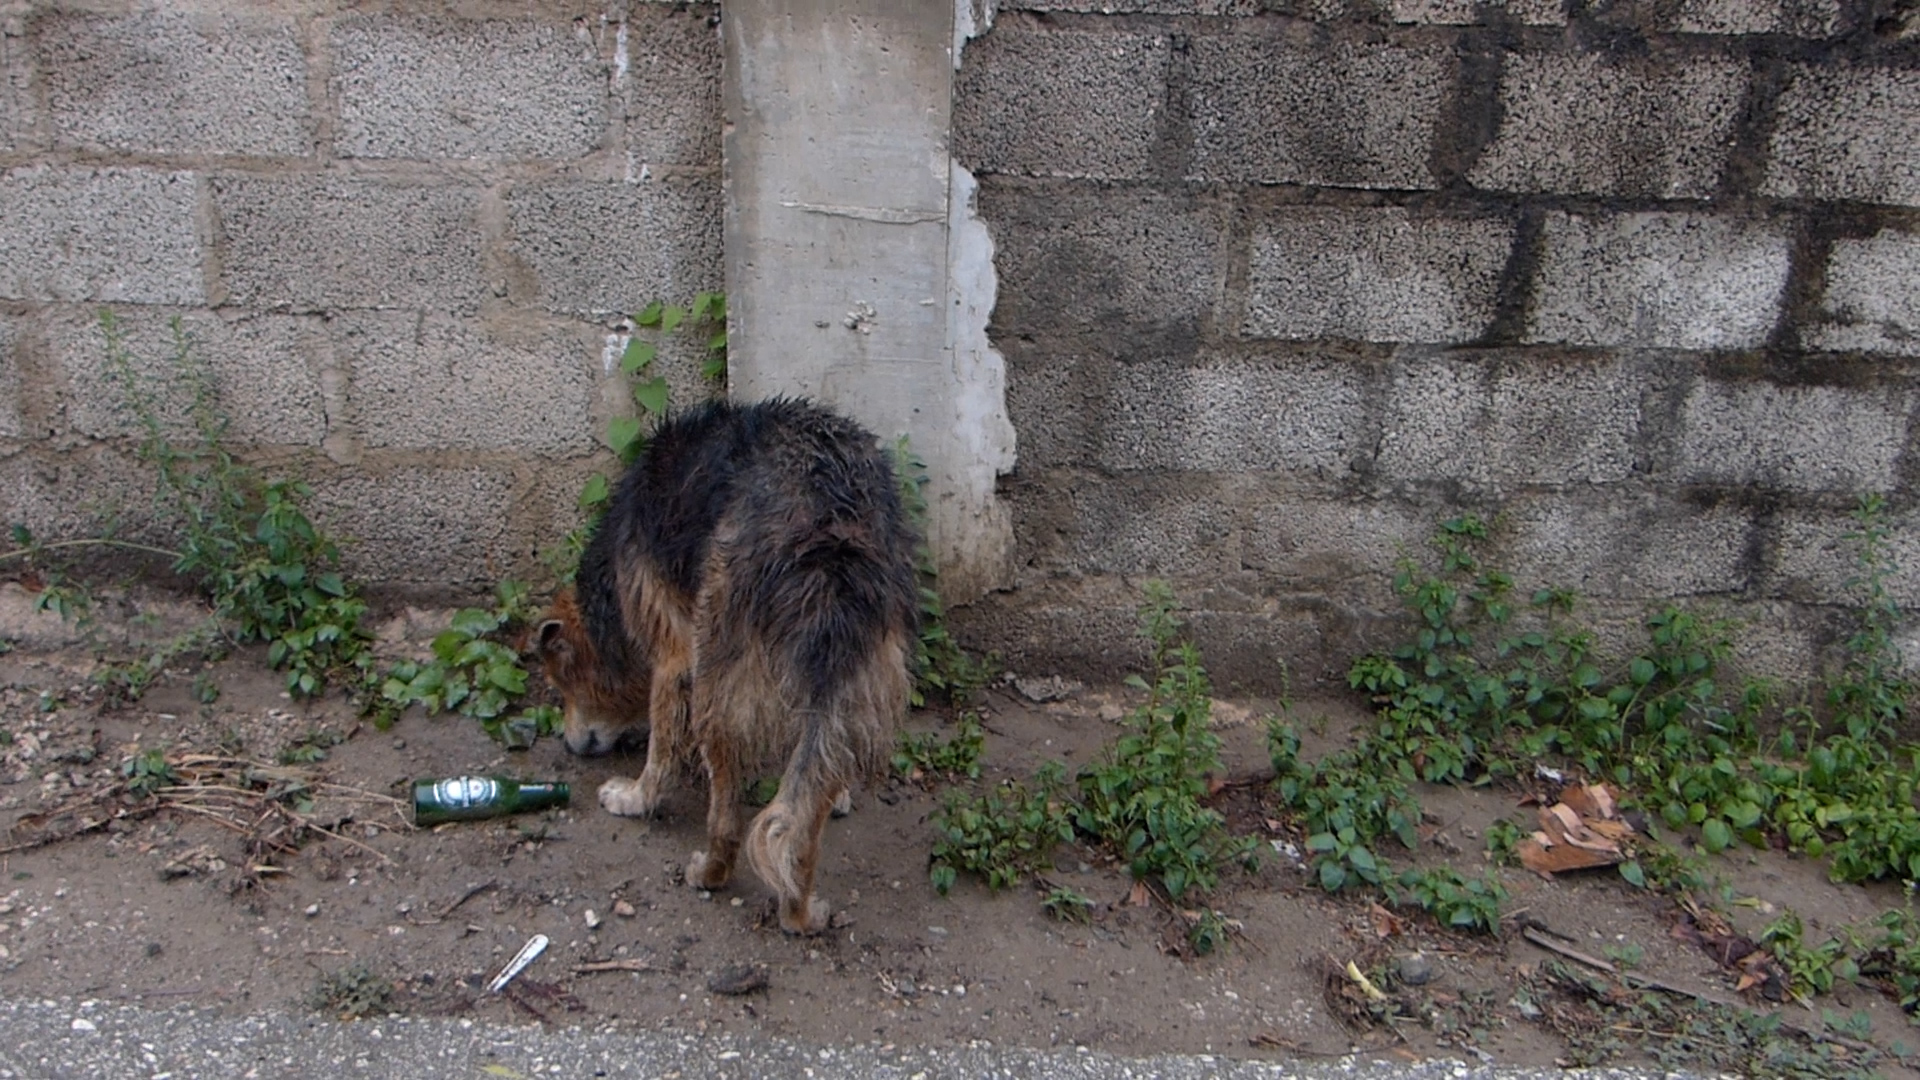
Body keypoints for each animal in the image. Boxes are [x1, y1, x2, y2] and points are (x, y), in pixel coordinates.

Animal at [533, 399, 921, 930]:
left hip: (716, 665)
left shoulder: (673, 655)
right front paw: (840, 796)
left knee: (727, 815)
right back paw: (800, 908)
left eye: (561, 686)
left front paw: (635, 796)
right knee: (801, 813)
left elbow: (660, 752)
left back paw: (712, 872)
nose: (568, 746)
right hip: (869, 661)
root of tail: (828, 511)